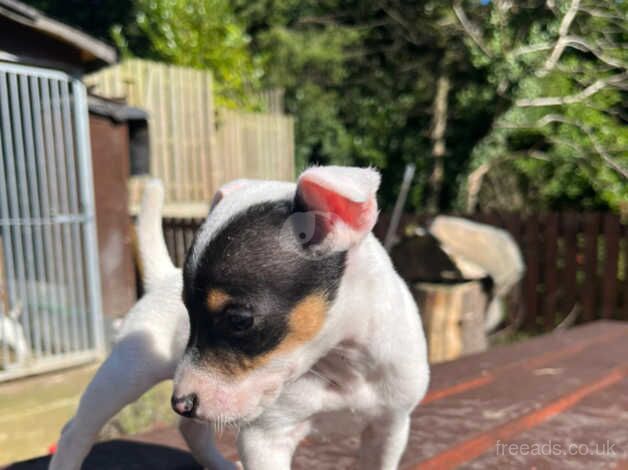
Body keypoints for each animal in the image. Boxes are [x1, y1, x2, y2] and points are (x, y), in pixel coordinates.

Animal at [51, 167, 430, 468]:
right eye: (189, 313)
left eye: (239, 320)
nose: (181, 403)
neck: (341, 364)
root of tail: (161, 276)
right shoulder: (265, 438)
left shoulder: (390, 427)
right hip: (126, 372)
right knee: (75, 430)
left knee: (190, 429)